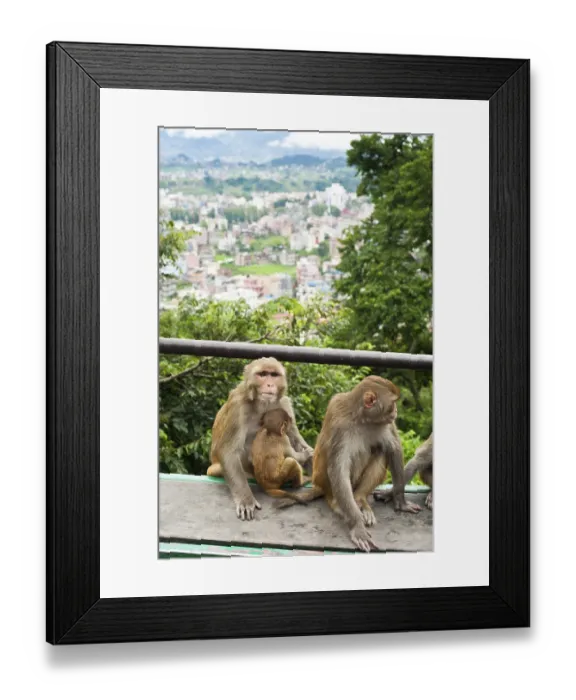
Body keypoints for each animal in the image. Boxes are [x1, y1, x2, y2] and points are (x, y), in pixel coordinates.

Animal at [206, 357, 315, 520]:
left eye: (274, 375)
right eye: (262, 374)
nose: (269, 384)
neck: (262, 403)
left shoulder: (284, 404)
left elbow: (297, 442)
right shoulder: (238, 406)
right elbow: (228, 450)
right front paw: (245, 499)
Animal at [276, 375, 422, 552]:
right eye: (392, 403)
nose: (396, 411)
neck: (362, 418)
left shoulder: (386, 423)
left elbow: (394, 449)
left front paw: (401, 501)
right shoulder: (340, 424)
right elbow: (339, 469)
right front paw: (357, 526)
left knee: (380, 450)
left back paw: (360, 499)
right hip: (325, 482)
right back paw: (338, 504)